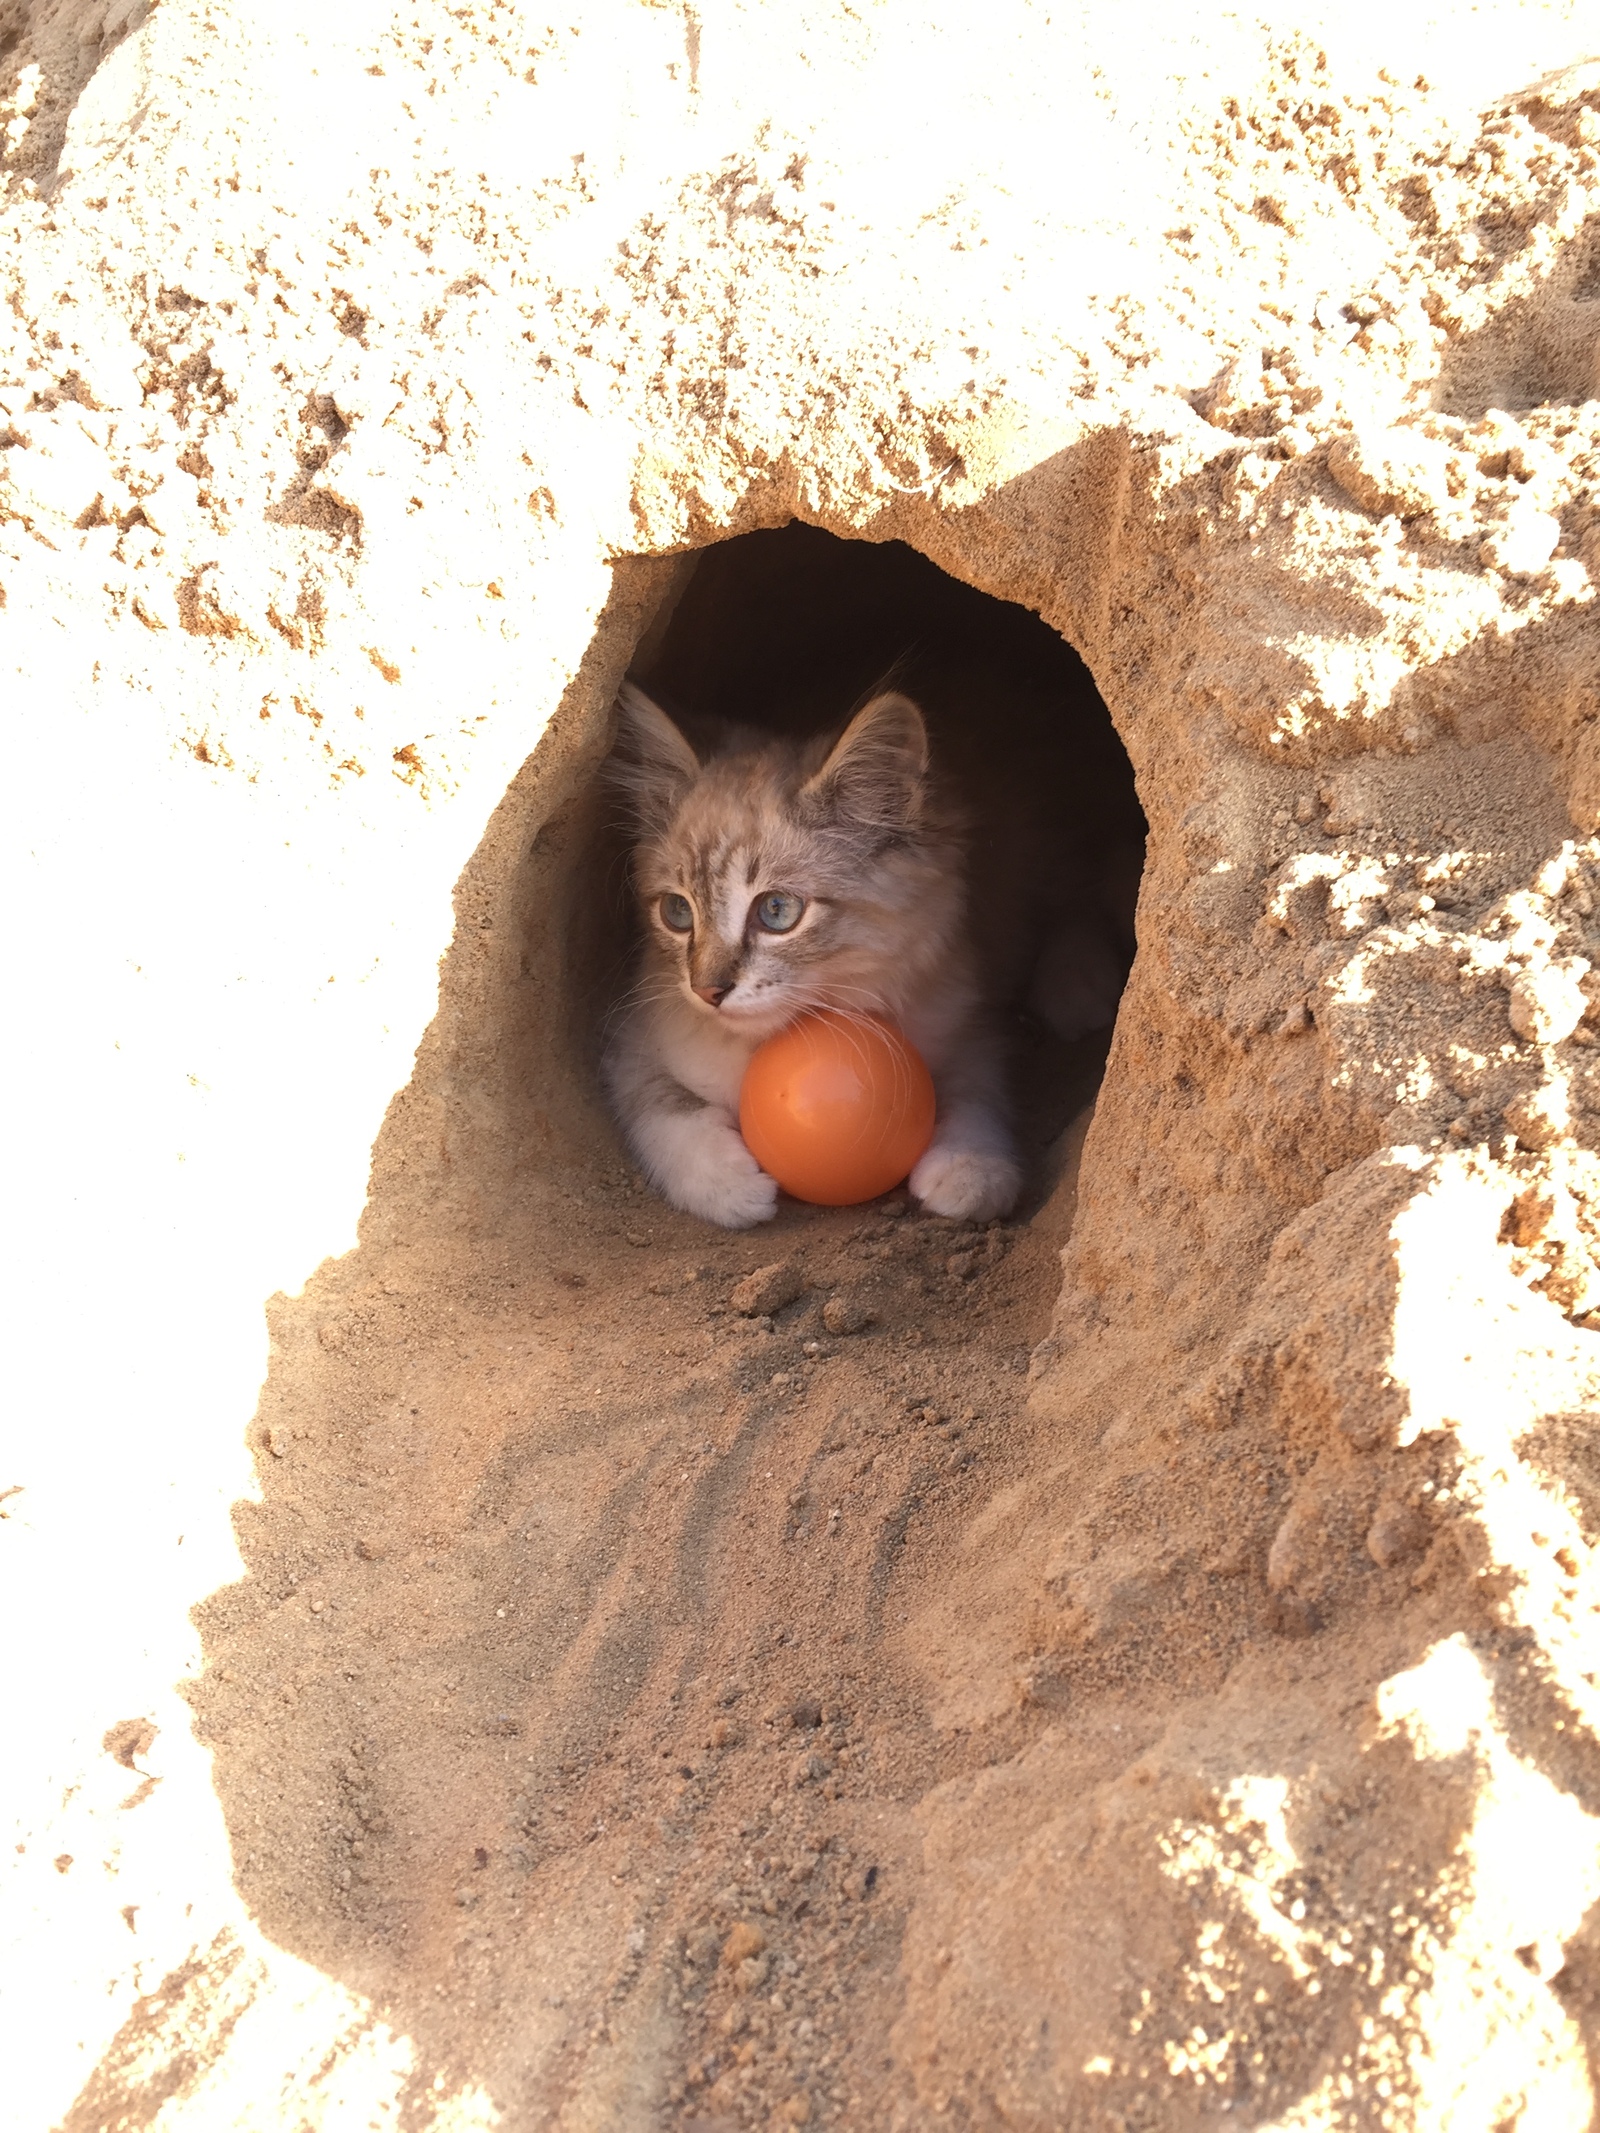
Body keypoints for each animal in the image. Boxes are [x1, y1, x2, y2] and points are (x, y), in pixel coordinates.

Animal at [601, 682, 1028, 1237]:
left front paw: (971, 1173)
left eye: (776, 911)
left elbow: (979, 1101)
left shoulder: (971, 1029)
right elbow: (666, 1112)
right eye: (677, 912)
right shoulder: (632, 1047)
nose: (707, 991)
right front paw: (729, 1186)